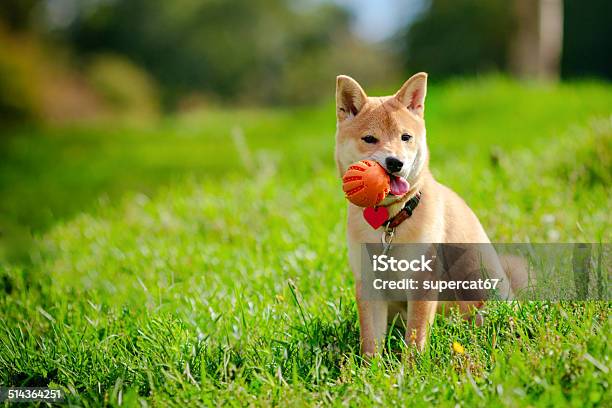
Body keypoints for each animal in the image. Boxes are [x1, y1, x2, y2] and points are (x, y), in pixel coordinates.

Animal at [332, 74, 524, 356]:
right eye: (369, 138)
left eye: (405, 137)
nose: (395, 163)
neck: (391, 220)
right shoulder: (368, 283)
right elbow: (370, 342)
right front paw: (370, 367)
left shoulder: (422, 280)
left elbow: (415, 338)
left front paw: (411, 366)